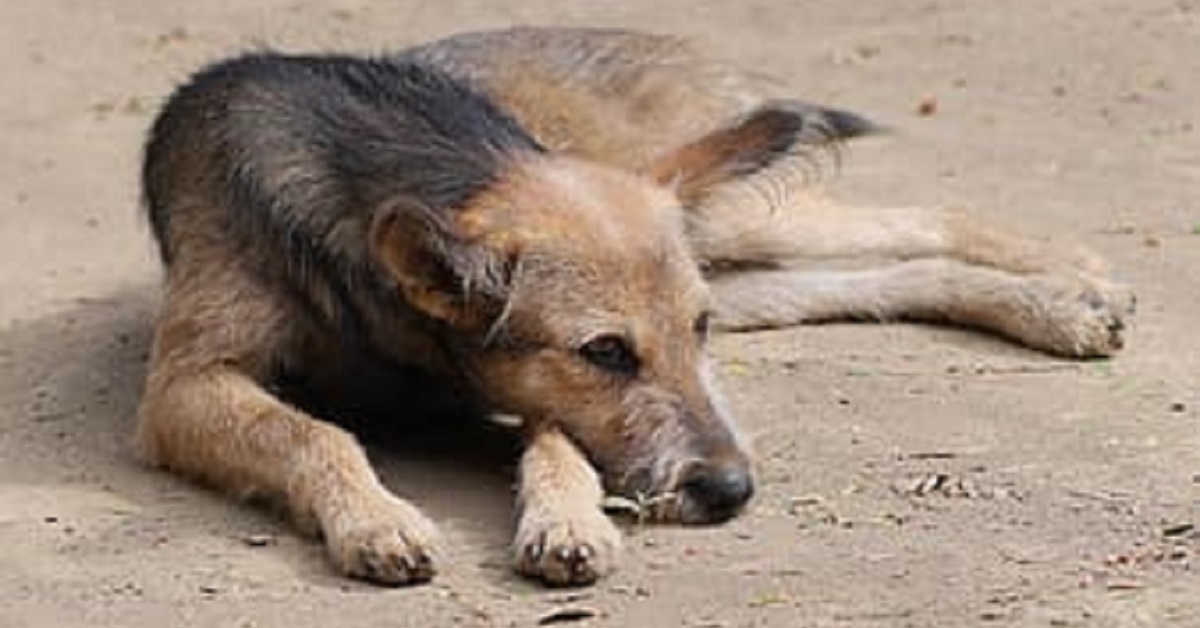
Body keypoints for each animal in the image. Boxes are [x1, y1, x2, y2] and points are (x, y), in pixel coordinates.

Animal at [136, 25, 1128, 590]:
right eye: (606, 352)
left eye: (691, 333)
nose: (733, 493)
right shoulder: (184, 388)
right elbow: (314, 432)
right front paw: (377, 518)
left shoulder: (514, 388)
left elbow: (558, 442)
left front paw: (566, 520)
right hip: (742, 262)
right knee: (892, 274)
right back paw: (1061, 303)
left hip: (732, 227)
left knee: (925, 216)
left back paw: (1072, 276)